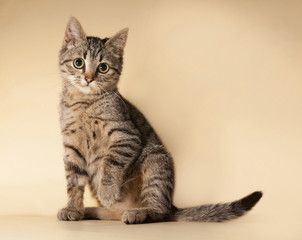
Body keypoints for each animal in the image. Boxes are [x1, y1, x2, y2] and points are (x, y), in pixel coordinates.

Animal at [56, 17, 262, 225]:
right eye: (78, 63)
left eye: (103, 67)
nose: (88, 78)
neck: (83, 104)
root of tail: (172, 205)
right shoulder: (72, 146)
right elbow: (73, 182)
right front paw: (73, 208)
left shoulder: (126, 136)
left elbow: (111, 163)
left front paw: (106, 191)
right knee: (116, 213)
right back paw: (90, 211)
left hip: (155, 162)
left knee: (159, 211)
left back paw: (139, 213)